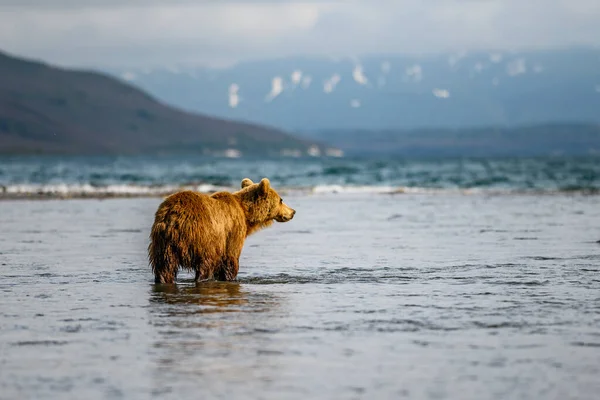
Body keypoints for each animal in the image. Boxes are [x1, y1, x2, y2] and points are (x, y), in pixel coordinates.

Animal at [149, 178, 296, 284]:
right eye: (281, 200)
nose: (293, 211)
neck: (246, 214)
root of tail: (173, 215)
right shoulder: (232, 230)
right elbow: (231, 258)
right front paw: (230, 278)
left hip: (163, 242)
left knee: (164, 265)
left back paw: (163, 280)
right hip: (202, 237)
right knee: (205, 263)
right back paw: (203, 279)